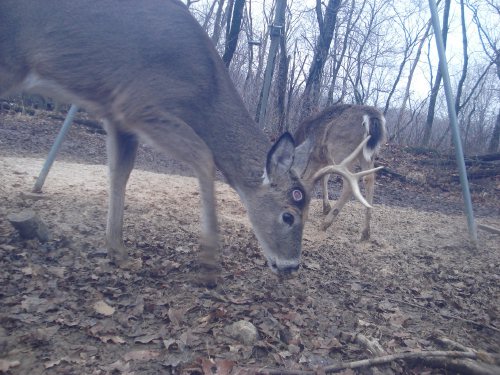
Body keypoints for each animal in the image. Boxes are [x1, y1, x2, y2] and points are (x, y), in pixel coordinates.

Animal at [292, 103, 386, 241]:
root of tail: (371, 116)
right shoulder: (324, 159)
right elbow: (324, 178)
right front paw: (325, 207)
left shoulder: (315, 158)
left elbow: (310, 180)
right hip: (367, 154)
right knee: (369, 178)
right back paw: (365, 232)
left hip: (341, 148)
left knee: (349, 183)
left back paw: (326, 223)